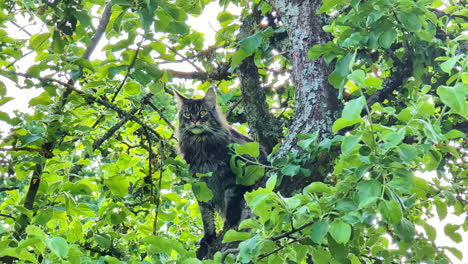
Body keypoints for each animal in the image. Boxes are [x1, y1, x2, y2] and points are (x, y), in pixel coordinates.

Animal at [174, 87, 266, 258]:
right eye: (188, 114)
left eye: (203, 112)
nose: (195, 121)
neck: (201, 145)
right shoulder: (201, 185)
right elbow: (206, 216)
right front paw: (208, 239)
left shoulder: (233, 174)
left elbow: (231, 196)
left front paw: (230, 219)